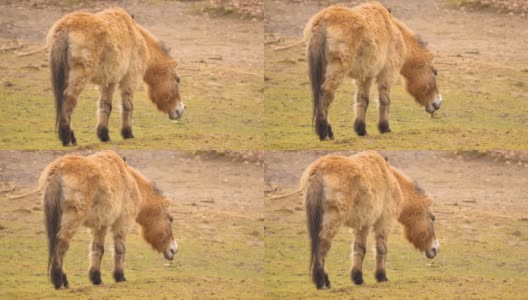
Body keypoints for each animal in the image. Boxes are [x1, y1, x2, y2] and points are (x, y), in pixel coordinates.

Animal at [39, 151, 179, 290]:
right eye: (170, 219)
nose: (174, 250)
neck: (131, 182)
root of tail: (58, 169)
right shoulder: (122, 223)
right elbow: (120, 249)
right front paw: (120, 277)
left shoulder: (101, 225)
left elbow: (97, 249)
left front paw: (96, 278)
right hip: (73, 218)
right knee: (61, 243)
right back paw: (58, 281)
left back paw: (64, 280)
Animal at [48, 7, 184, 146]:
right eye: (177, 80)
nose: (180, 110)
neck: (138, 39)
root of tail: (66, 26)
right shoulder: (130, 80)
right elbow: (128, 106)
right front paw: (127, 134)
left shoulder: (109, 82)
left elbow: (105, 106)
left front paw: (104, 135)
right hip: (80, 75)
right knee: (69, 99)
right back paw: (66, 138)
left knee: (62, 102)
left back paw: (71, 137)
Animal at [304, 1, 444, 141]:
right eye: (435, 72)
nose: (438, 103)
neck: (396, 35)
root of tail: (323, 20)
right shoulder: (387, 73)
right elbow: (385, 100)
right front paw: (384, 128)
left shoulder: (366, 76)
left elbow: (362, 100)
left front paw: (361, 129)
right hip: (337, 69)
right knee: (326, 93)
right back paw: (323, 132)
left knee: (320, 96)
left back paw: (329, 131)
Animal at [304, 151, 440, 290]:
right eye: (433, 218)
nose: (435, 249)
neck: (392, 181)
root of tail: (319, 170)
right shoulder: (384, 222)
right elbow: (382, 248)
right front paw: (381, 277)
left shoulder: (363, 225)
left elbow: (359, 248)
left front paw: (358, 278)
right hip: (333, 219)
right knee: (322, 245)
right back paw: (320, 281)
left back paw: (325, 280)